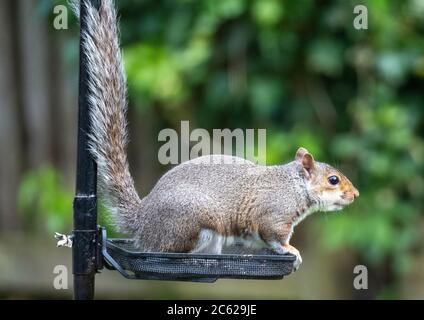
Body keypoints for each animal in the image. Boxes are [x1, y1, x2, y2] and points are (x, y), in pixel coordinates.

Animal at [75, 0, 358, 270]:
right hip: (193, 222)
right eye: (333, 180)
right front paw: (291, 251)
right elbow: (275, 237)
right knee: (170, 250)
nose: (355, 195)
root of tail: (143, 221)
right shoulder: (273, 214)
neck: (294, 185)